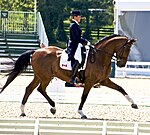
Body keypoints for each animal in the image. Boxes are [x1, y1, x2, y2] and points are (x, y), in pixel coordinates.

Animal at [0, 34, 138, 118]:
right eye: (126, 49)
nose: (121, 64)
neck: (100, 57)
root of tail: (36, 51)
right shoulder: (89, 82)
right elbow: (84, 97)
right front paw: (81, 113)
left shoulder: (104, 81)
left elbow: (120, 88)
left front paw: (134, 104)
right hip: (45, 77)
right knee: (40, 89)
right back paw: (53, 107)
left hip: (39, 76)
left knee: (29, 89)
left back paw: (23, 111)